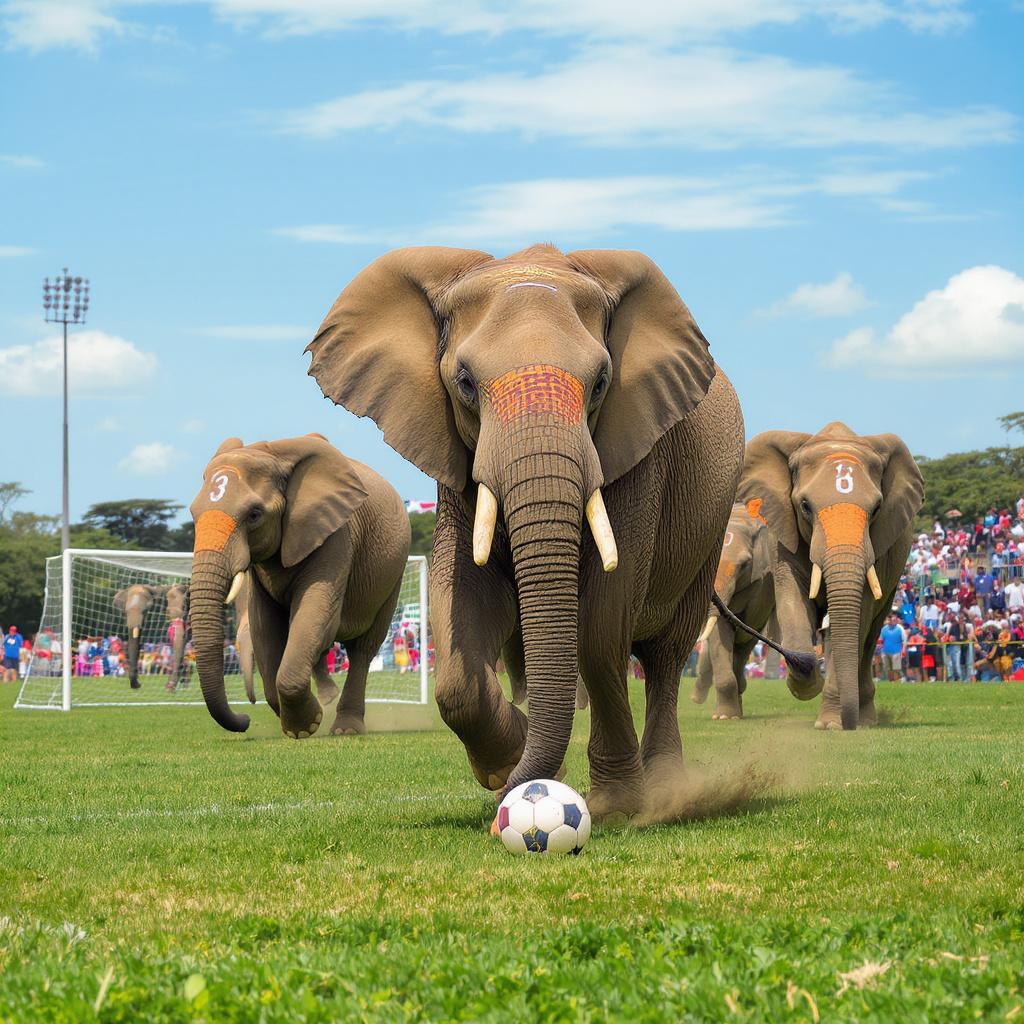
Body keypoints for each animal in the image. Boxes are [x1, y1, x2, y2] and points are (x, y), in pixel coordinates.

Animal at [188, 433, 411, 737]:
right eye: (193, 515)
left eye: (254, 515)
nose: (245, 719)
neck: (271, 454)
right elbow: (266, 627)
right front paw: (300, 723)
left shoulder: (337, 533)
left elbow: (314, 611)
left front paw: (306, 726)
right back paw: (329, 700)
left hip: (393, 574)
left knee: (363, 649)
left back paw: (346, 728)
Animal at [305, 244, 748, 820]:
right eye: (465, 383)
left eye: (601, 383)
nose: (509, 804)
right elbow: (462, 606)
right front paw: (507, 764)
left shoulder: (637, 456)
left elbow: (602, 624)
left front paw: (614, 803)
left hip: (713, 522)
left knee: (667, 653)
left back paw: (666, 786)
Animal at [692, 501, 774, 720]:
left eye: (744, 565)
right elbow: (719, 633)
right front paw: (724, 717)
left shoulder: (758, 587)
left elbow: (744, 630)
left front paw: (727, 716)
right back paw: (697, 698)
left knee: (745, 644)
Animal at [737, 422, 923, 730]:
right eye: (805, 506)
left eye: (876, 509)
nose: (846, 722)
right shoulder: (783, 535)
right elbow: (793, 604)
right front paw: (807, 685)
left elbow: (856, 618)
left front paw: (831, 724)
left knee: (870, 637)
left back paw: (866, 718)